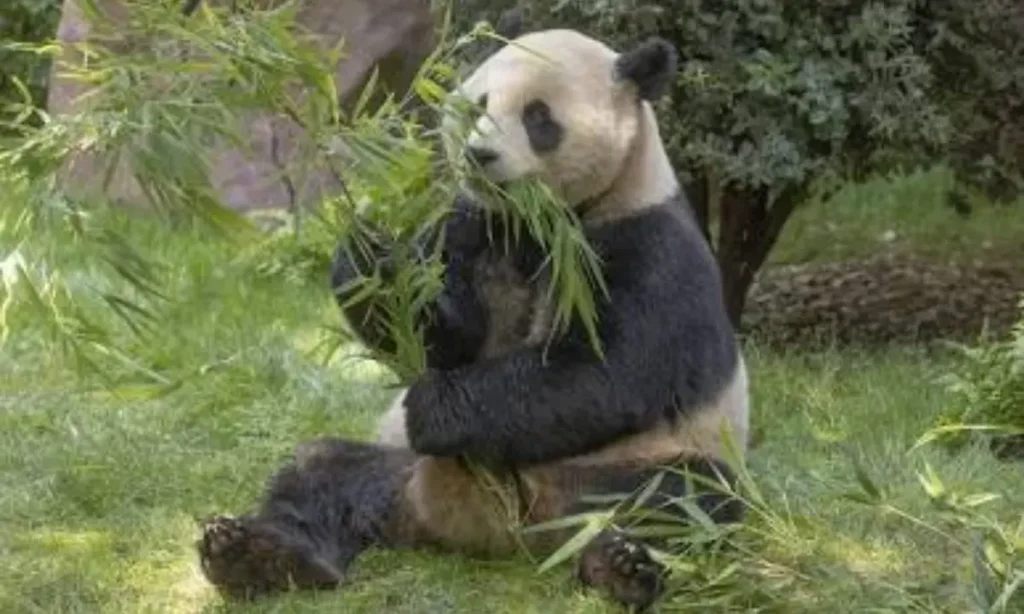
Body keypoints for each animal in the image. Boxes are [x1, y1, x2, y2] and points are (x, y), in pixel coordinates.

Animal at [196, 25, 750, 612]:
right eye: (477, 106)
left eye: (538, 117)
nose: (479, 154)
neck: (540, 221)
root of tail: (496, 529)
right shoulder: (473, 223)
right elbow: (441, 334)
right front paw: (373, 259)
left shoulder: (645, 242)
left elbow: (604, 372)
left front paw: (434, 406)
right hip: (401, 470)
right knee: (318, 471)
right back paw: (256, 554)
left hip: (618, 470)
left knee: (683, 501)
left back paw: (620, 566)